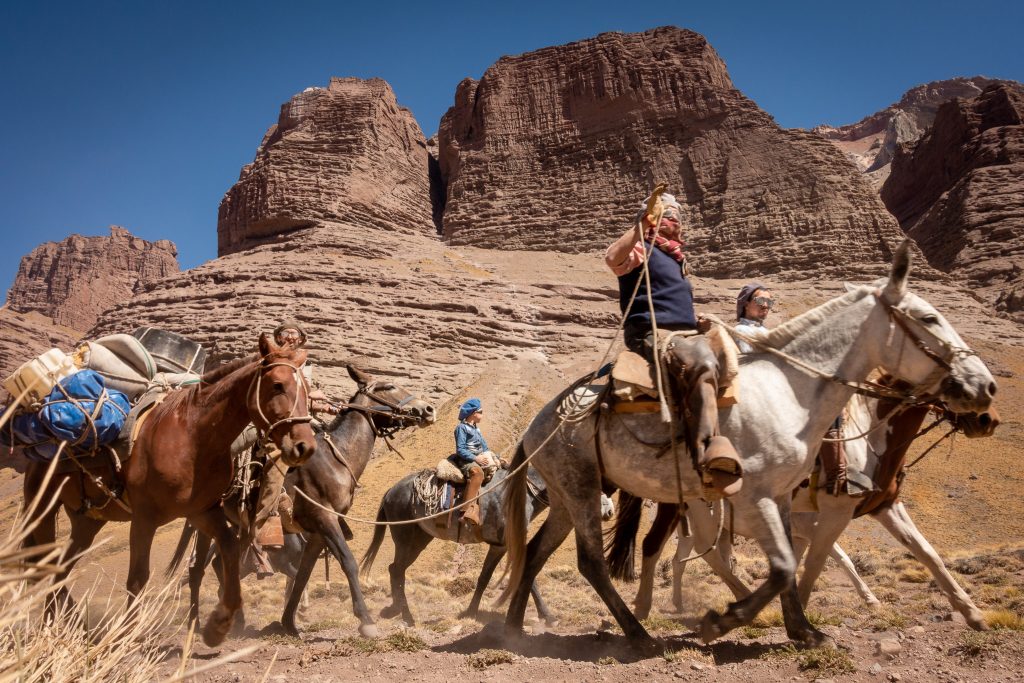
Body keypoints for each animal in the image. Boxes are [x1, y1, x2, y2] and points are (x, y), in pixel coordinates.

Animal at [22, 333, 317, 643]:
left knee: (61, 566)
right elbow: (138, 577)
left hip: (88, 520)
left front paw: (218, 625)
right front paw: (126, 634)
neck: (194, 437)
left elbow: (227, 551)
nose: (304, 446)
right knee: (45, 565)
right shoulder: (144, 517)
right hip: (41, 508)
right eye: (277, 385)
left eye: (308, 391)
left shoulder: (202, 512)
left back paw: (73, 624)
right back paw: (53, 627)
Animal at [499, 241, 995, 651]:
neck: (792, 390)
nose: (986, 391)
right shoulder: (763, 497)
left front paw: (803, 630)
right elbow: (787, 565)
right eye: (929, 318)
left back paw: (513, 628)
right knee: (595, 563)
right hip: (586, 492)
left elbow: (807, 563)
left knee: (538, 552)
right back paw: (638, 632)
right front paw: (727, 620)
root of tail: (537, 423)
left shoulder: (786, 498)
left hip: (570, 497)